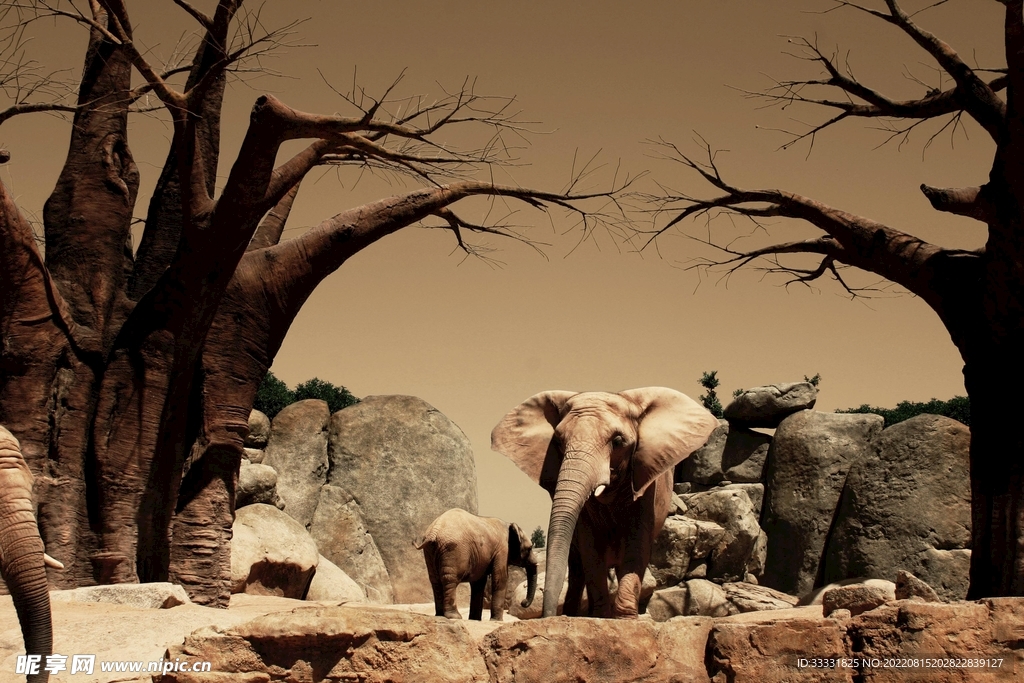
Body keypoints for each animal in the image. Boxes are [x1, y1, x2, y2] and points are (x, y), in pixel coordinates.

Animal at [491, 387, 717, 619]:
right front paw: (600, 617)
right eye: (559, 442)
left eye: (617, 442)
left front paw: (626, 620)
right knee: (577, 567)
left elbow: (636, 544)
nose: (546, 614)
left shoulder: (646, 486)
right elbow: (591, 548)